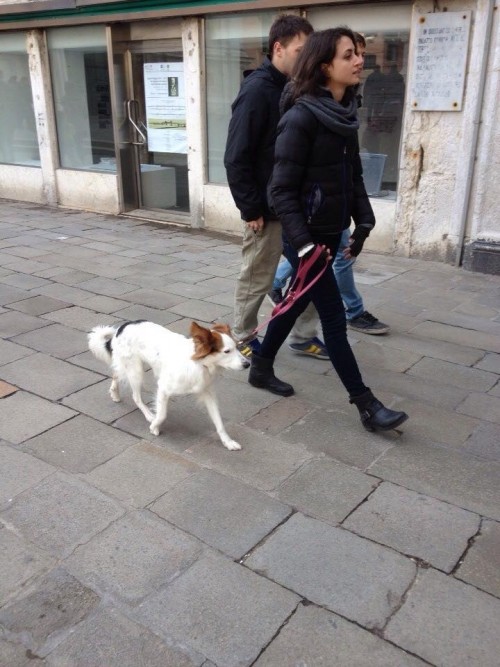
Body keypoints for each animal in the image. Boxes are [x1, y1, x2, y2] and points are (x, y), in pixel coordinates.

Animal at [88, 320, 250, 452]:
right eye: (227, 351)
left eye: (238, 347)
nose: (248, 364)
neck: (198, 364)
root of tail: (122, 327)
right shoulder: (164, 389)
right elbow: (162, 414)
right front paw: (154, 426)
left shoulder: (207, 393)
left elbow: (219, 421)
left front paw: (228, 442)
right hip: (136, 371)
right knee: (135, 396)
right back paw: (148, 414)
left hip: (128, 366)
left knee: (116, 373)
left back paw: (114, 393)